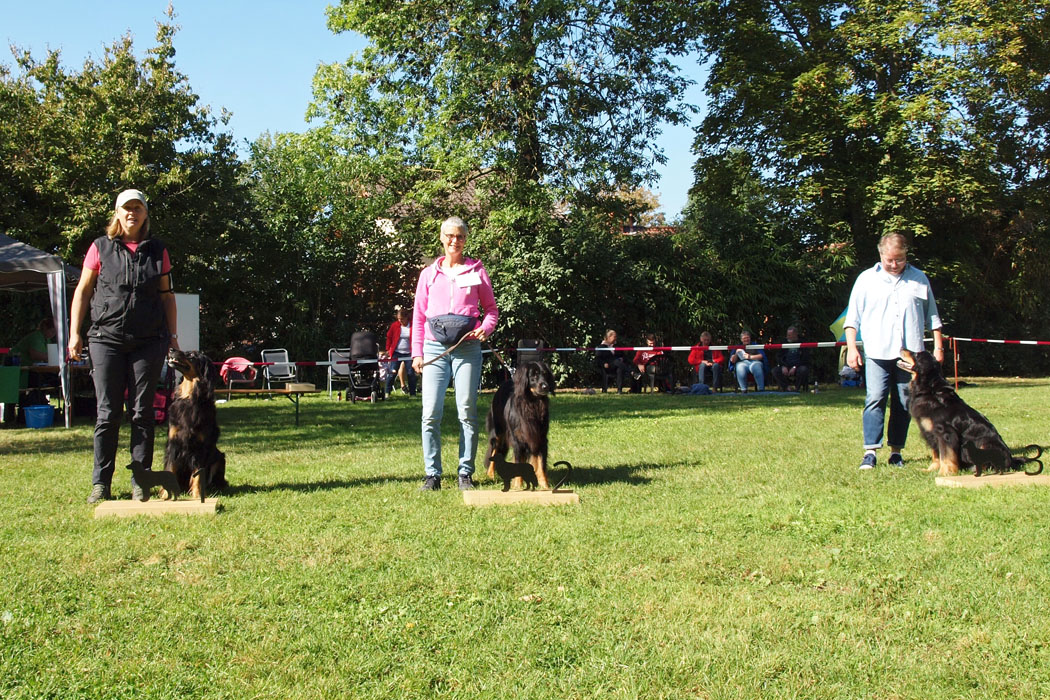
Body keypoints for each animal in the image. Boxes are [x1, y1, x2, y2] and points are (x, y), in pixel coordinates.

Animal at [161, 348, 227, 501]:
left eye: (191, 355)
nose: (171, 349)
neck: (189, 397)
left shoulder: (202, 447)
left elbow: (198, 474)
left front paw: (197, 495)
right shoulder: (173, 443)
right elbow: (170, 468)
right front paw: (166, 495)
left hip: (220, 458)